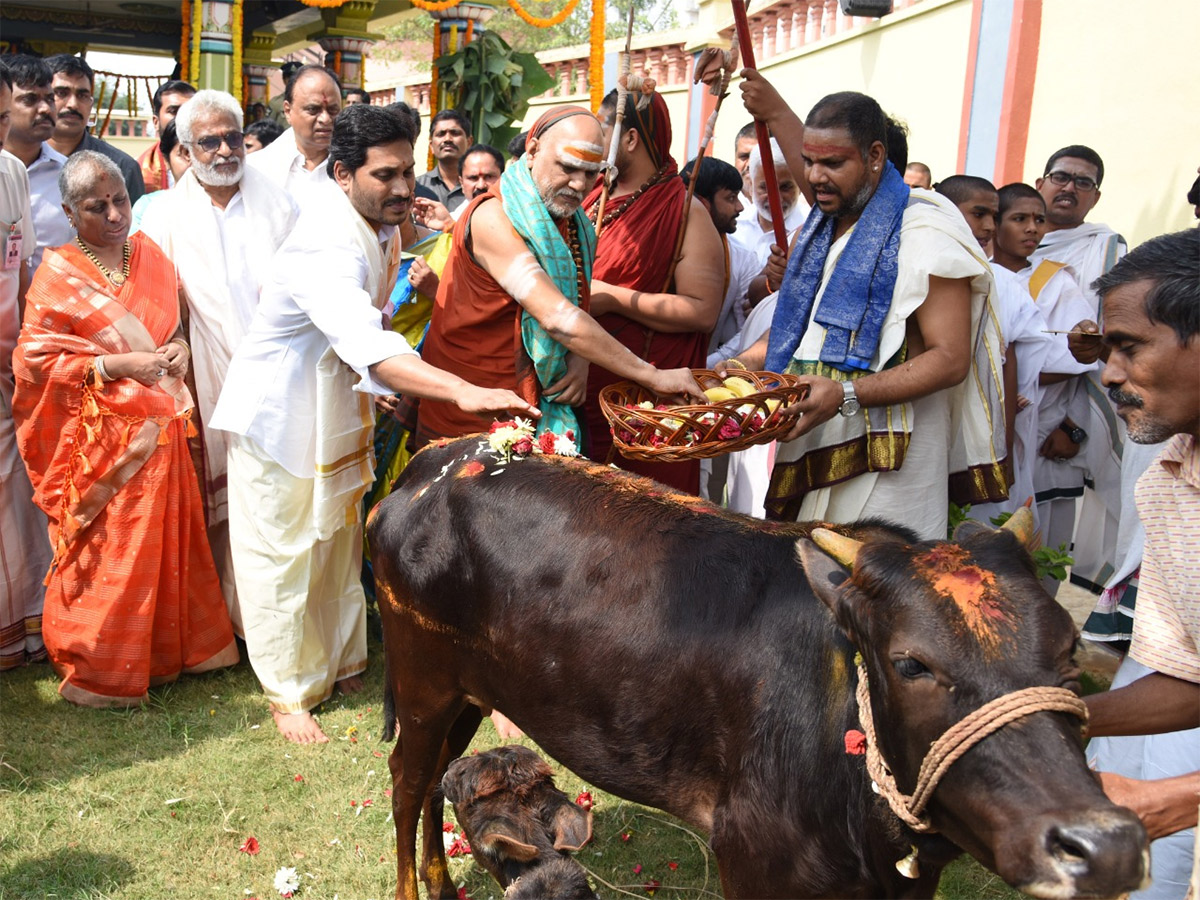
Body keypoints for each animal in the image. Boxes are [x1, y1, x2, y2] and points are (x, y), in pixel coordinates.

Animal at [369, 439, 1147, 900]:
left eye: (1068, 649)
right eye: (910, 662)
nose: (1106, 846)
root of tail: (435, 461)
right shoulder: (751, 863)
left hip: (469, 692)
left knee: (439, 776)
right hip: (423, 681)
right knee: (408, 782)